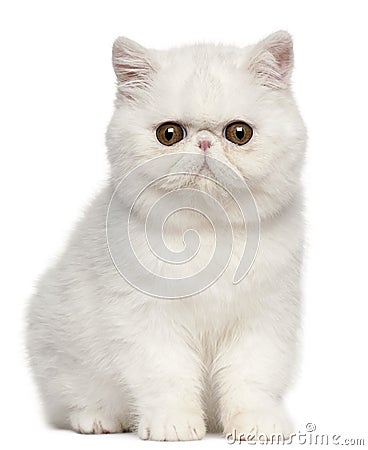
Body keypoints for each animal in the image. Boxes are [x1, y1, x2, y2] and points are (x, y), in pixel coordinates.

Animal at [25, 32, 306, 442]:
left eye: (239, 133)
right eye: (169, 134)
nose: (204, 144)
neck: (206, 232)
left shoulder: (263, 321)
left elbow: (251, 379)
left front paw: (256, 424)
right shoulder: (148, 322)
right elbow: (167, 377)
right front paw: (173, 424)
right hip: (60, 350)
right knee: (74, 400)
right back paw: (97, 419)